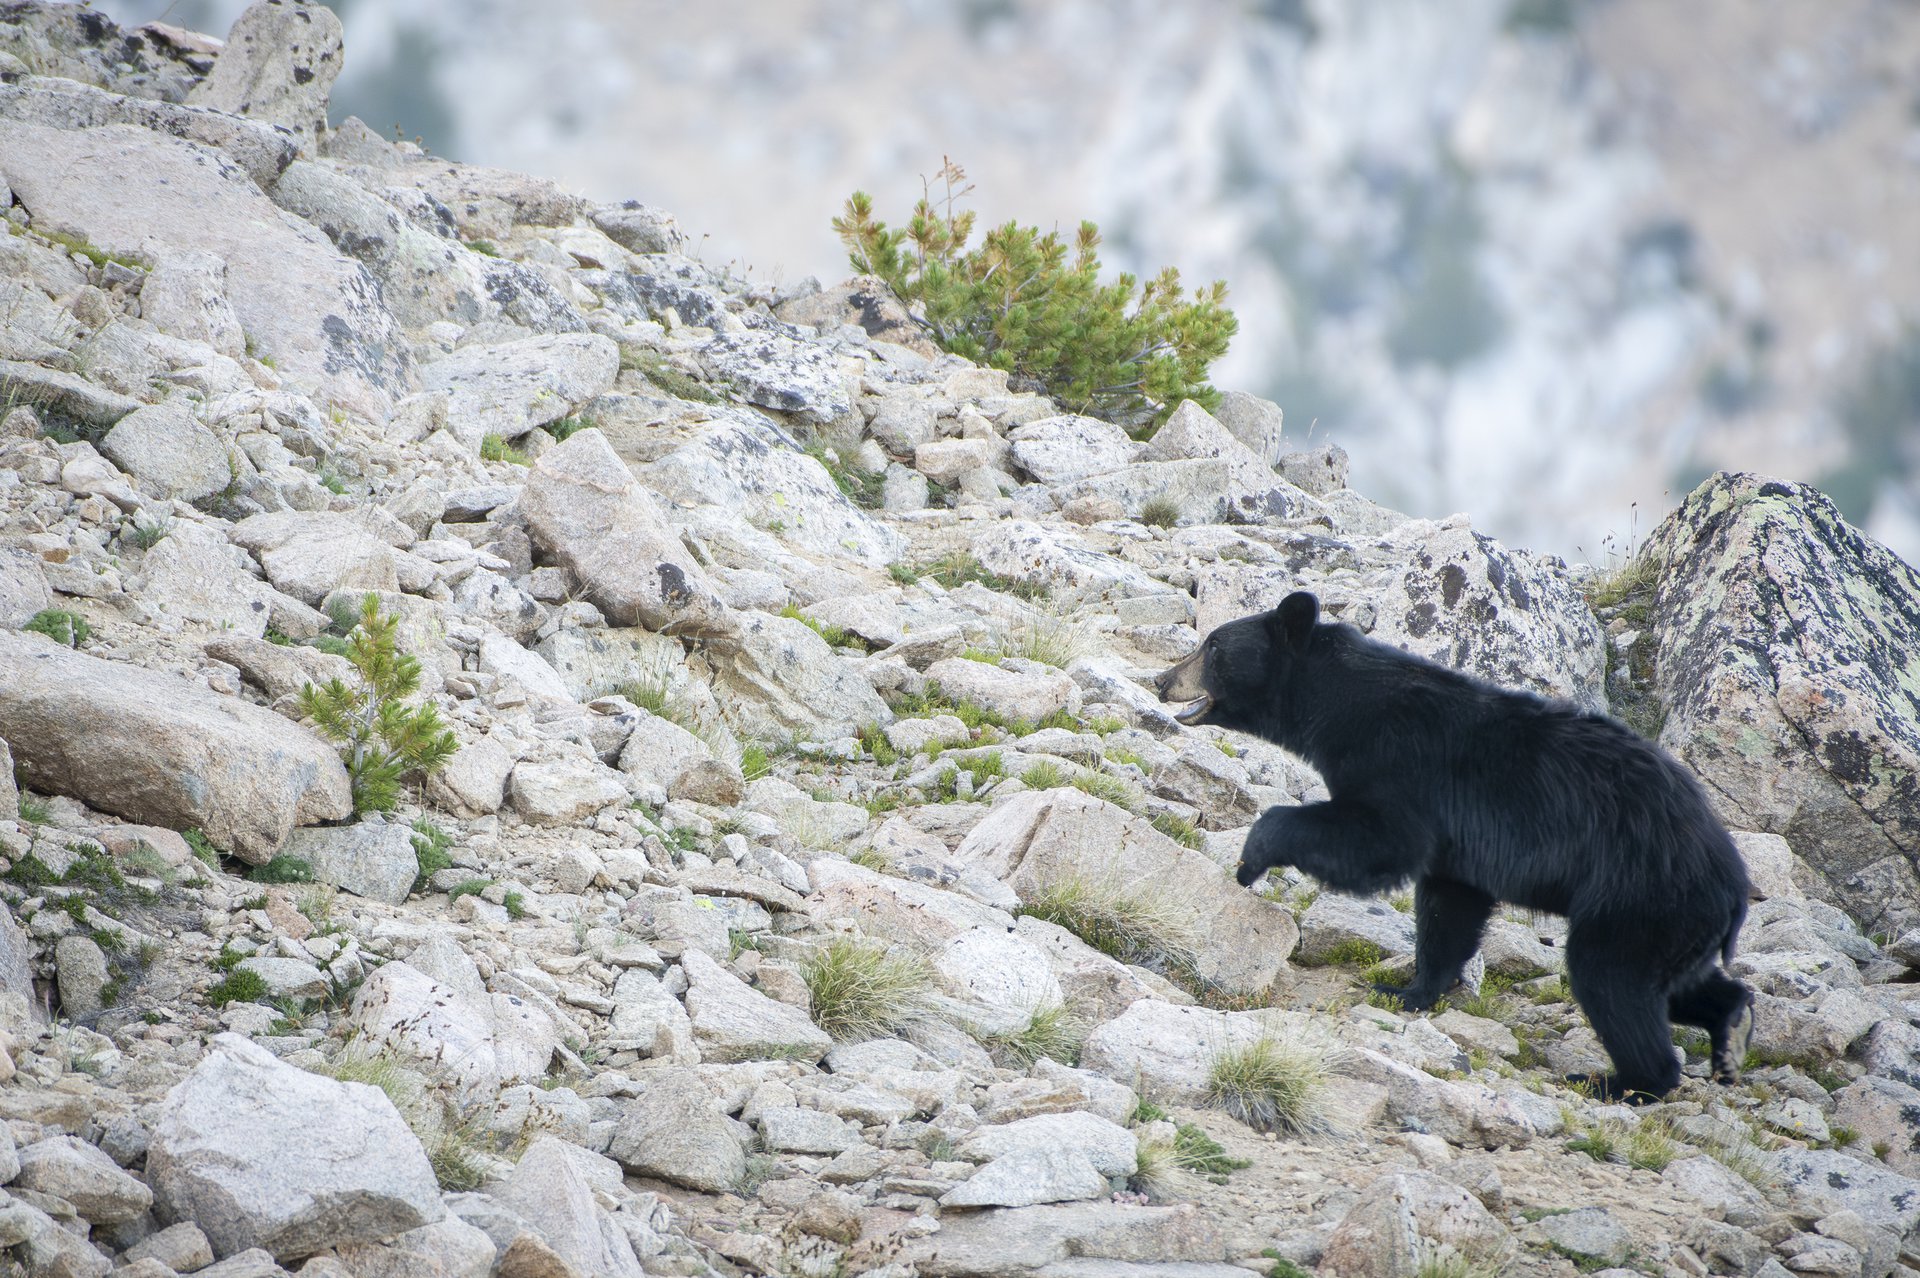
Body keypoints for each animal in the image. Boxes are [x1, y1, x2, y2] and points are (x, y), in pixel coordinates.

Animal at [1155, 590, 1754, 1101]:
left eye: (1213, 645)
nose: (1162, 679)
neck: (1341, 705)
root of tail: (1734, 881)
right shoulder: (1458, 844)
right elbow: (1450, 907)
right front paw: (1409, 991)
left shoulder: (1403, 763)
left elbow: (1379, 841)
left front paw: (1250, 859)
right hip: (1671, 921)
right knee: (1675, 984)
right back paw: (1732, 1023)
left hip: (1638, 895)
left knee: (1611, 978)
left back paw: (1621, 1081)